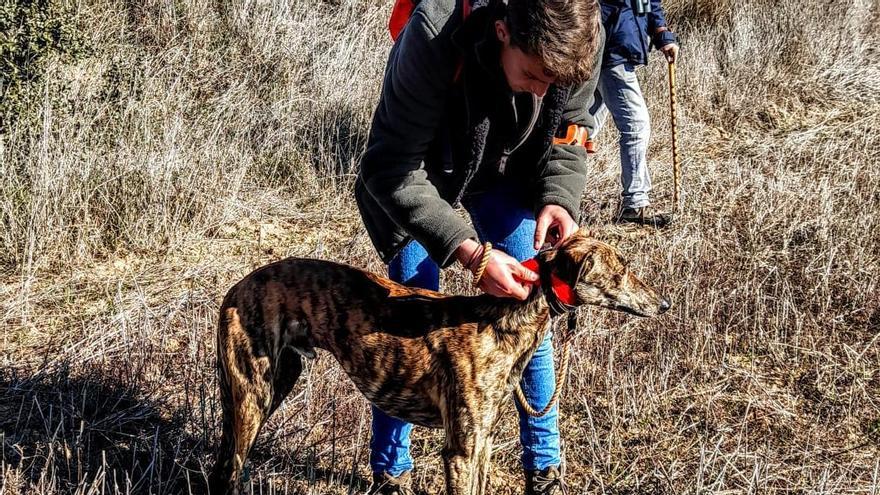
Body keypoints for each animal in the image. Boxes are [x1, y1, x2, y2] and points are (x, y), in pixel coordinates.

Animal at [210, 232, 672, 495]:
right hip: (253, 396)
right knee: (229, 470)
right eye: (621, 271)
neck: (501, 321)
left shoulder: (483, 441)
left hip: (275, 382)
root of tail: (236, 287)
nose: (665, 304)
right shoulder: (461, 451)